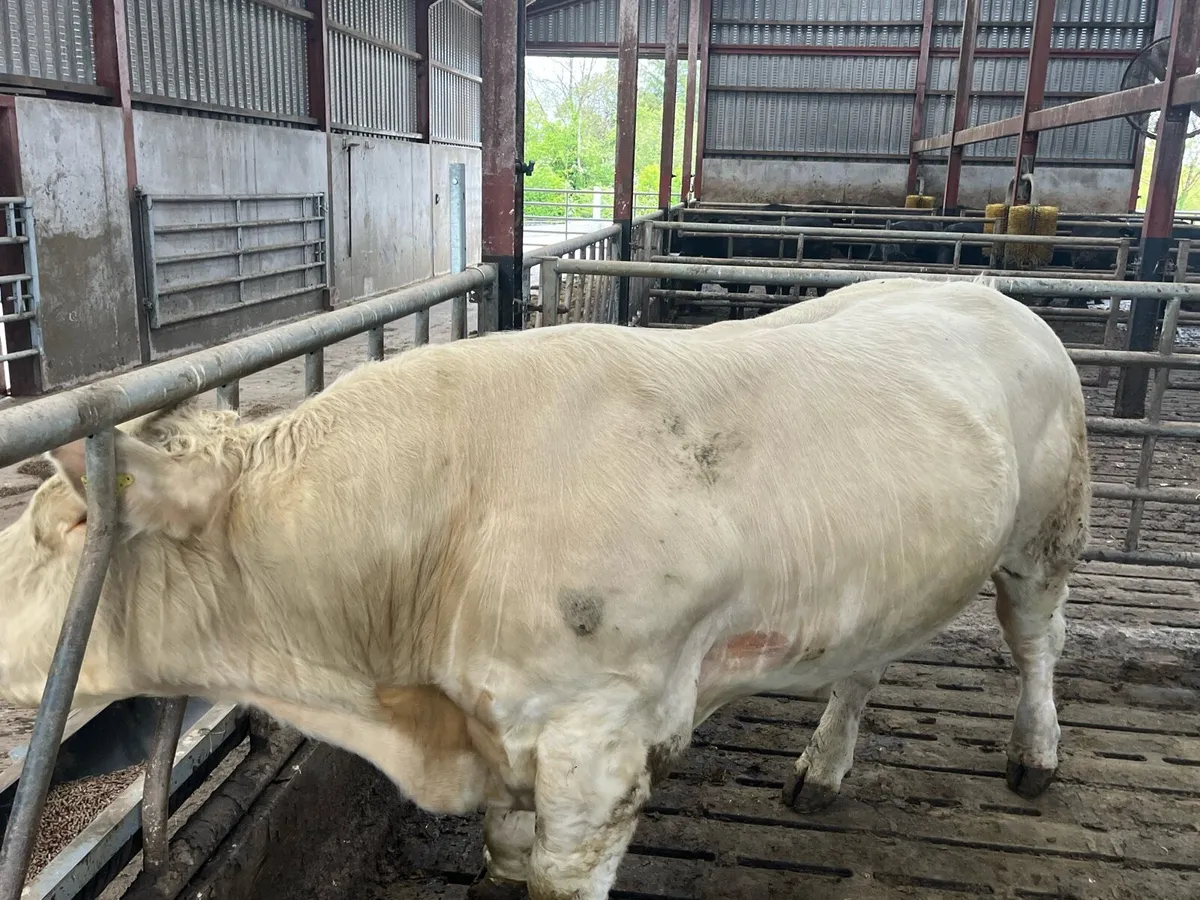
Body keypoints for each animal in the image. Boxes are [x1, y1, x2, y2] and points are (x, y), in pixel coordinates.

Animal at [0, 279, 1090, 900]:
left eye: (71, 526)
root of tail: (983, 285)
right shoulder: (499, 739)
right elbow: (504, 856)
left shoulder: (597, 745)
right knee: (867, 663)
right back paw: (823, 765)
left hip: (1048, 529)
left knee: (1040, 640)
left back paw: (1035, 754)